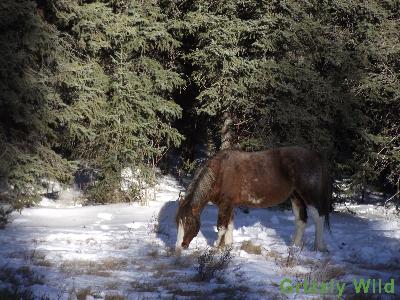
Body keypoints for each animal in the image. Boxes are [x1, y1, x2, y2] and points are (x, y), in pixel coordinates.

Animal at [175, 145, 332, 251]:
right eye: (178, 222)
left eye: (189, 222)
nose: (179, 246)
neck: (220, 173)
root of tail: (316, 155)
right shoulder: (230, 204)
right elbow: (229, 225)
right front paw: (228, 245)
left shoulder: (225, 203)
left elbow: (221, 226)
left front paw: (216, 246)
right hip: (296, 196)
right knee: (301, 219)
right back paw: (294, 246)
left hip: (310, 195)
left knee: (319, 217)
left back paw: (319, 247)